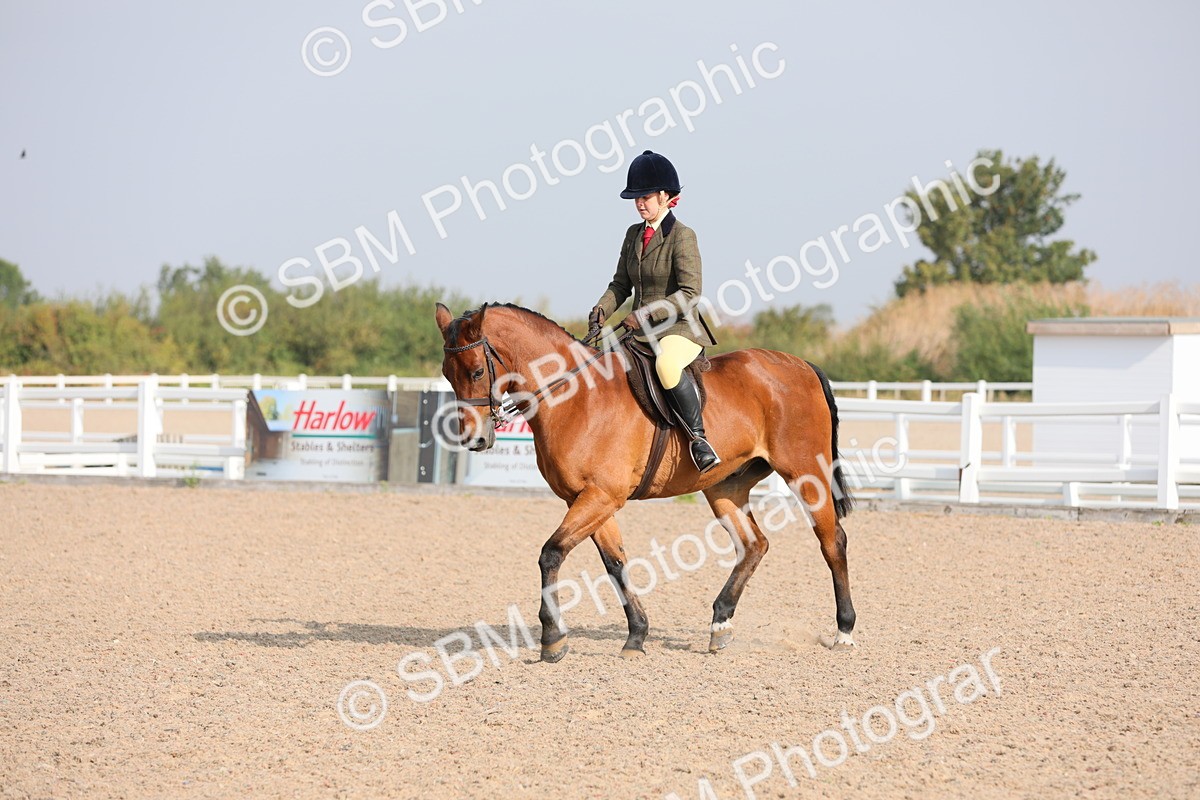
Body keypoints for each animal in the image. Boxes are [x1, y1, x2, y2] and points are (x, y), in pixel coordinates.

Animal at [434, 302, 855, 662]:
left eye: (476, 371)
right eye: (446, 374)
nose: (474, 440)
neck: (576, 398)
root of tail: (800, 365)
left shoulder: (601, 496)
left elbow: (551, 553)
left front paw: (552, 640)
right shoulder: (586, 499)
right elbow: (615, 563)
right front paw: (636, 636)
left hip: (806, 474)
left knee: (831, 541)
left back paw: (844, 631)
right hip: (725, 487)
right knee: (754, 544)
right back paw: (720, 624)